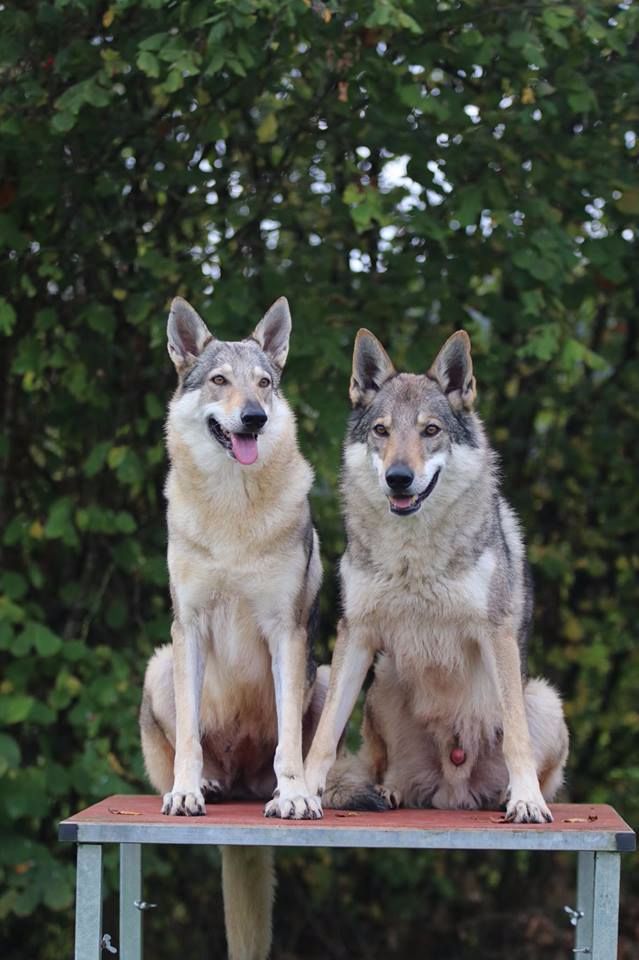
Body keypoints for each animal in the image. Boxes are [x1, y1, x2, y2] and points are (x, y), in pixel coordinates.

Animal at [139, 295, 326, 960]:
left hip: (323, 675)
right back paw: (212, 787)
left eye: (264, 384)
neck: (232, 509)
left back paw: (274, 791)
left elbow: (290, 746)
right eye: (220, 380)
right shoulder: (188, 629)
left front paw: (293, 796)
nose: (252, 418)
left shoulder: (286, 635)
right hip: (161, 663)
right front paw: (186, 792)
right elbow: (191, 740)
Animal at [305, 328, 569, 823]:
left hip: (544, 699)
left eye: (430, 431)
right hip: (383, 682)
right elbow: (324, 734)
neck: (415, 557)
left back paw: (510, 796)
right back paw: (387, 792)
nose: (398, 477)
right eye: (382, 430)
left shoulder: (495, 634)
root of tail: (454, 794)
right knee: (388, 774)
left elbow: (517, 740)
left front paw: (527, 801)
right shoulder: (356, 633)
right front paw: (298, 795)